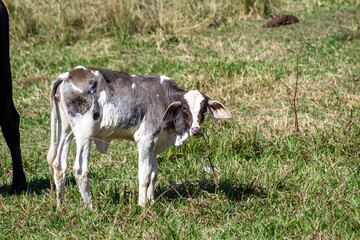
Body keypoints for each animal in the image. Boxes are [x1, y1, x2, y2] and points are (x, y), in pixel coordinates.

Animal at [47, 66, 231, 208]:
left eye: (204, 108)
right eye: (185, 108)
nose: (196, 129)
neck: (164, 98)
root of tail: (67, 75)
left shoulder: (155, 142)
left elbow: (153, 173)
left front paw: (151, 202)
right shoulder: (145, 139)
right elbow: (144, 175)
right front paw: (142, 205)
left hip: (66, 129)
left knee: (59, 165)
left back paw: (60, 205)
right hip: (85, 133)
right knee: (80, 170)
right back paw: (90, 208)